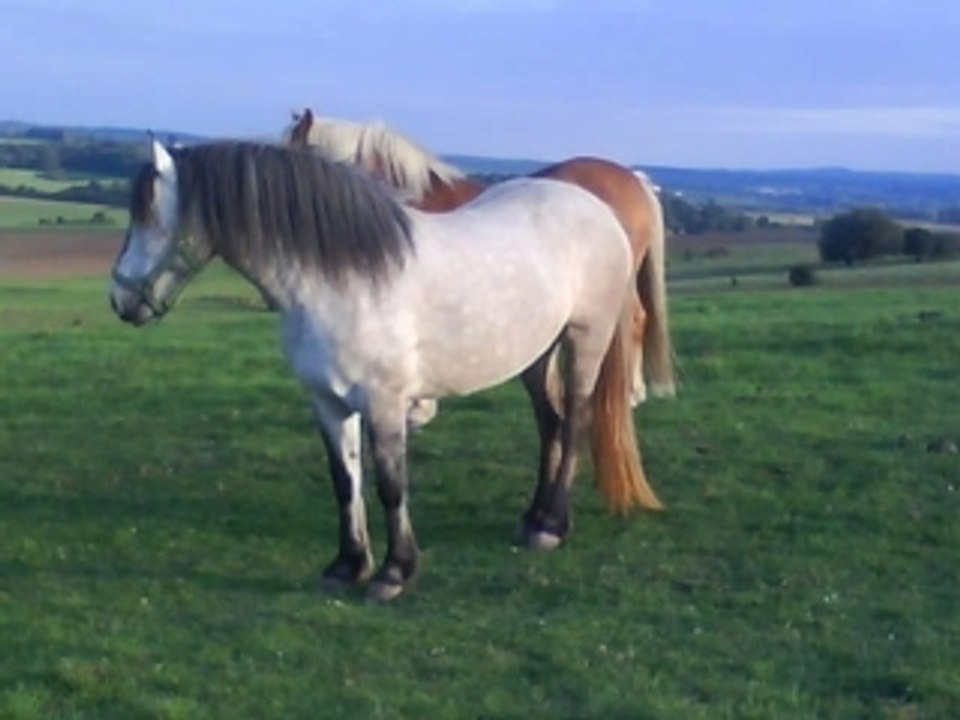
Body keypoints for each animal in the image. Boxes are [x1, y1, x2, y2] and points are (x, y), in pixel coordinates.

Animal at [109, 139, 663, 601]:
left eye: (150, 217)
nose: (119, 301)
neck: (339, 282)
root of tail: (597, 204)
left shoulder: (385, 402)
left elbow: (391, 485)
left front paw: (394, 573)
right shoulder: (327, 402)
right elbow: (345, 480)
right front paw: (347, 565)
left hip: (585, 342)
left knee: (575, 423)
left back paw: (553, 526)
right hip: (534, 354)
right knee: (550, 424)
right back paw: (532, 519)